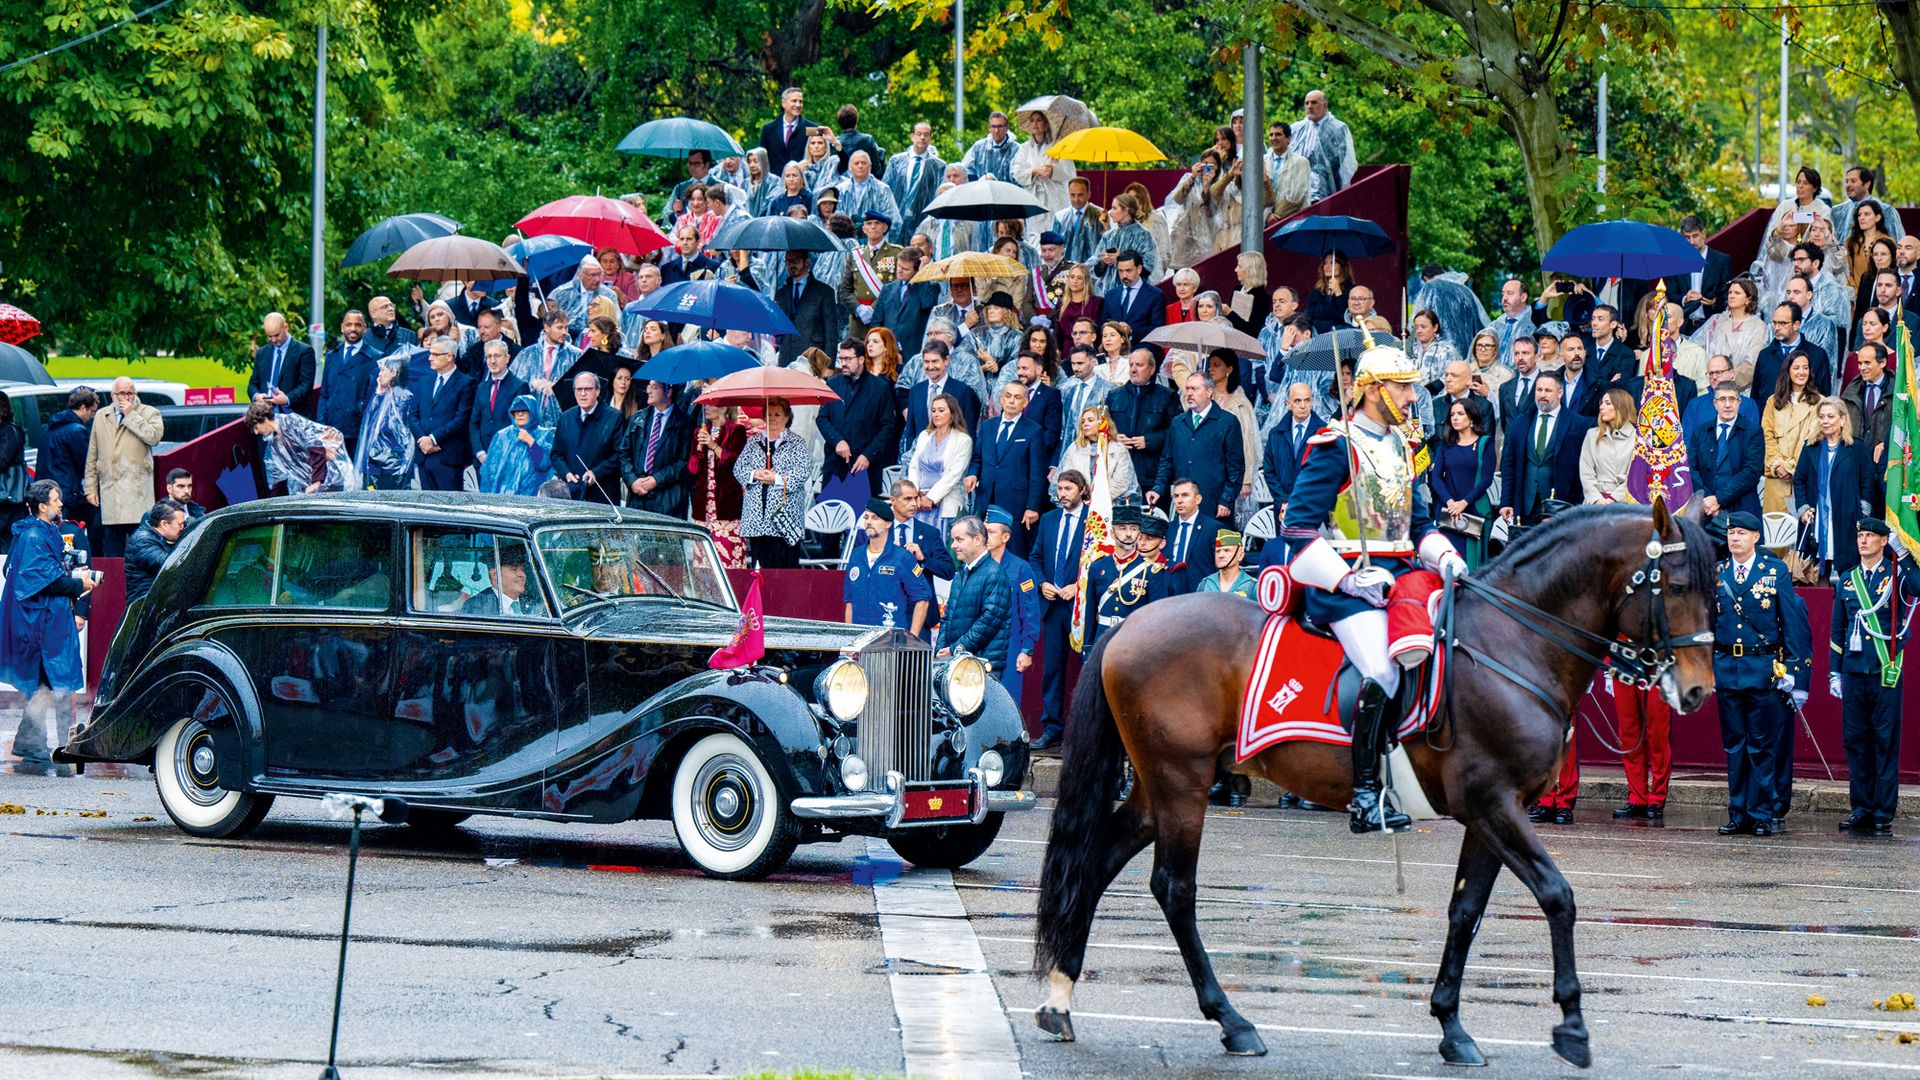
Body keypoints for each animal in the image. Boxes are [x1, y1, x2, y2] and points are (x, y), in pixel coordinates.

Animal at [1029, 499, 1720, 1060]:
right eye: (1678, 583)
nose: (1696, 692)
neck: (1515, 642)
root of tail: (1129, 623)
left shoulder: (1494, 810)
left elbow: (1465, 910)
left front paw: (1452, 1027)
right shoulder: (1494, 803)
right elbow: (1557, 894)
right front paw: (1572, 1025)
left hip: (1160, 785)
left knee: (1097, 862)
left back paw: (1061, 999)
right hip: (1180, 783)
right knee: (1174, 888)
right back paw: (1231, 1020)